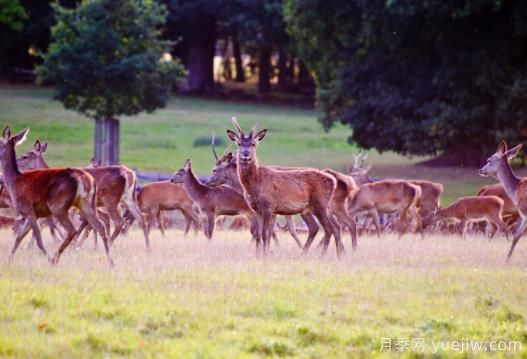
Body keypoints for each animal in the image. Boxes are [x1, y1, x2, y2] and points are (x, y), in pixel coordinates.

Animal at [0, 127, 113, 268]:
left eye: (25, 156)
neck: (14, 182)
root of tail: (84, 178)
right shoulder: (33, 213)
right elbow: (19, 237)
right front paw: (9, 261)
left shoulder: (28, 210)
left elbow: (39, 238)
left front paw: (48, 258)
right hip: (86, 204)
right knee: (99, 225)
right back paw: (110, 261)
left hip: (59, 206)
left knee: (73, 229)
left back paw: (55, 258)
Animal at [228, 116, 346, 258]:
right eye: (239, 144)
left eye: (253, 144)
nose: (245, 154)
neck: (255, 184)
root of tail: (333, 181)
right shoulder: (256, 209)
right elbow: (259, 235)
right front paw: (258, 255)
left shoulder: (269, 205)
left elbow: (265, 234)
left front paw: (265, 255)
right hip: (325, 206)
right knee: (336, 227)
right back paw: (338, 256)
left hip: (320, 204)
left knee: (329, 228)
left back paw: (322, 256)